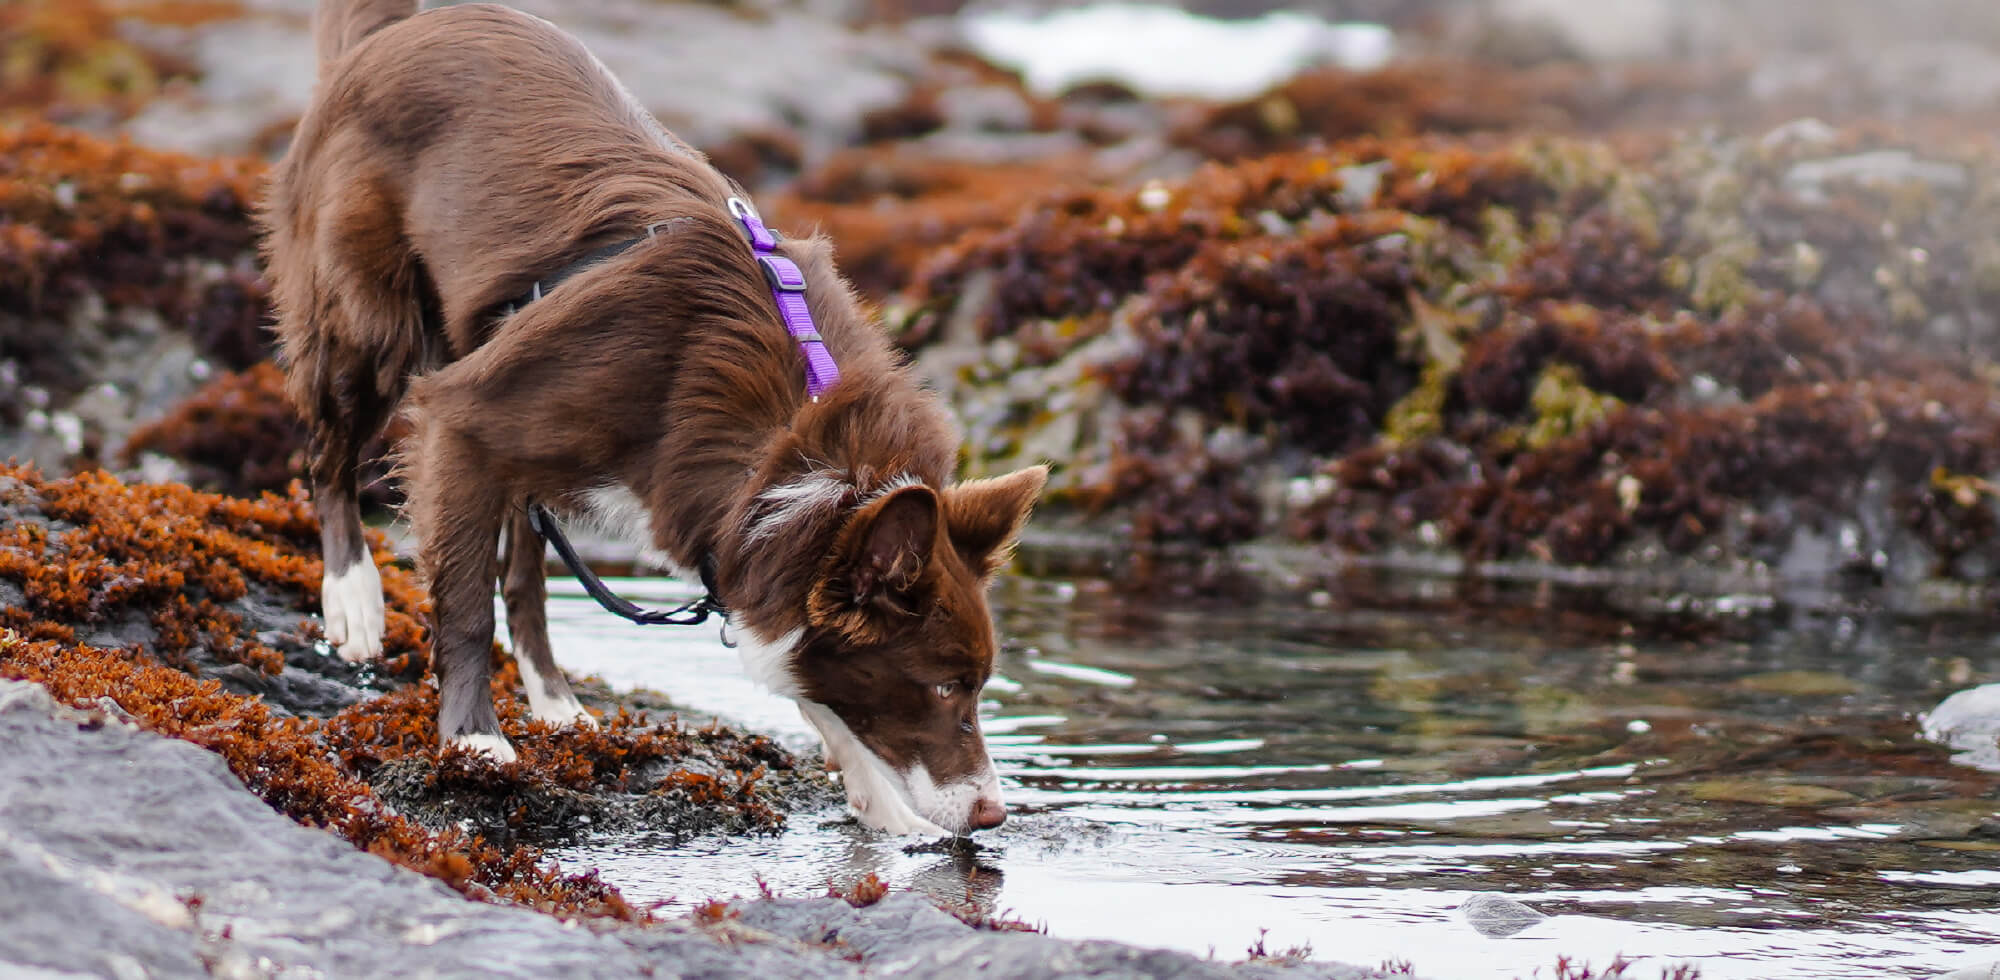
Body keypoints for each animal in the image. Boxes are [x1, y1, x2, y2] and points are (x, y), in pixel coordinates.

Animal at [262, 0, 1048, 836]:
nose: (993, 814)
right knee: (328, 455)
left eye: (979, 685)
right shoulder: (461, 418)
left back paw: (556, 701)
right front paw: (474, 741)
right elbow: (466, 602)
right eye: (943, 685)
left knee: (526, 571)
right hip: (368, 329)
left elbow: (809, 680)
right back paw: (352, 599)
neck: (785, 444)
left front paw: (880, 803)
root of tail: (401, 28)